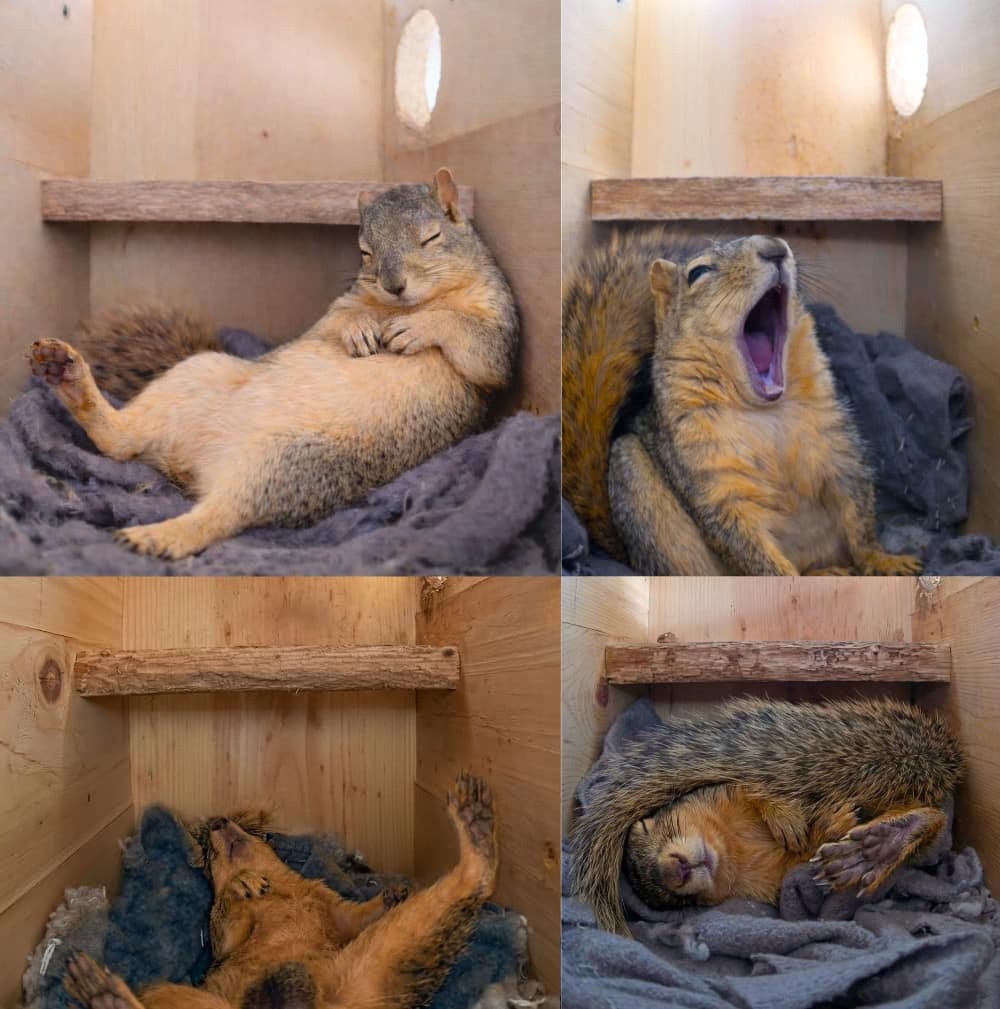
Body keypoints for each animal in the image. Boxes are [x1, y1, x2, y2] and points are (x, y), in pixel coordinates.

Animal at [28, 168, 518, 559]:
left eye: (432, 237)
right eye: (364, 251)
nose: (393, 285)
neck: (406, 305)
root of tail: (191, 463)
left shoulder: (502, 327)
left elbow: (483, 350)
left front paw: (418, 328)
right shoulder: (334, 310)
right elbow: (333, 323)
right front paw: (360, 327)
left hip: (290, 464)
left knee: (222, 514)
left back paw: (160, 537)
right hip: (199, 377)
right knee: (121, 442)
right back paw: (65, 372)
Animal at [65, 773, 498, 1009]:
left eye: (256, 832)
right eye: (207, 851)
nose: (219, 821)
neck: (279, 894)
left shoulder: (328, 904)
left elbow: (352, 919)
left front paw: (390, 896)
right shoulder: (225, 947)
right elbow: (225, 935)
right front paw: (239, 885)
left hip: (381, 965)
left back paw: (475, 825)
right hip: (174, 994)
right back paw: (103, 992)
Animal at [562, 230, 922, 576]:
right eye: (698, 273)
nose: (775, 248)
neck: (766, 412)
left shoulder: (838, 449)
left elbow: (859, 516)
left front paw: (884, 560)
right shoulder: (714, 480)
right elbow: (750, 551)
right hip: (639, 488)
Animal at [570, 698, 963, 935]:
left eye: (646, 826)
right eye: (675, 901)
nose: (674, 871)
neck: (731, 845)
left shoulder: (725, 788)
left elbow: (751, 785)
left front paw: (784, 815)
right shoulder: (779, 878)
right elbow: (807, 855)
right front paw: (828, 826)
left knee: (932, 817)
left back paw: (879, 846)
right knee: (931, 816)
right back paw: (878, 848)